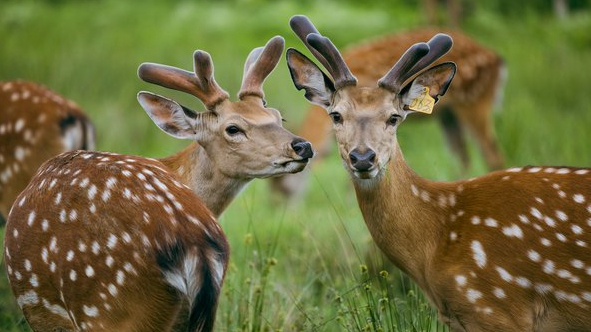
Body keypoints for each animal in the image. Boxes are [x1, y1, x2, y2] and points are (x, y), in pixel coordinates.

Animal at [270, 26, 506, 200]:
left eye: (280, 181)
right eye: (336, 115)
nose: (276, 205)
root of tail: (498, 60)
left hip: (475, 102)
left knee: (491, 153)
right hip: (448, 114)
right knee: (462, 154)